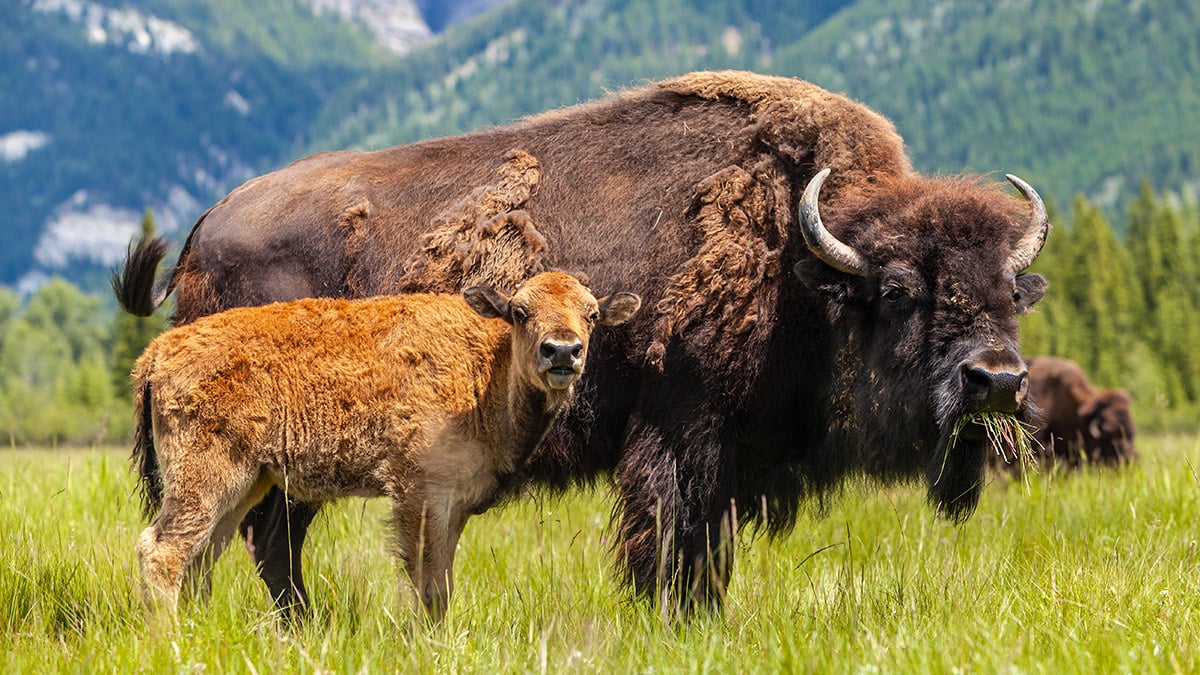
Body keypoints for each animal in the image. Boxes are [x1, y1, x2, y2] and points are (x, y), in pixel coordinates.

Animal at [114, 71, 1049, 617]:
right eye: (898, 291)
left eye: (1012, 292)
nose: (998, 380)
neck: (801, 261)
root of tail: (205, 227)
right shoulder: (682, 433)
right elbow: (671, 539)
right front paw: (674, 621)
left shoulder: (730, 456)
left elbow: (706, 548)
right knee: (261, 540)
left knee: (250, 540)